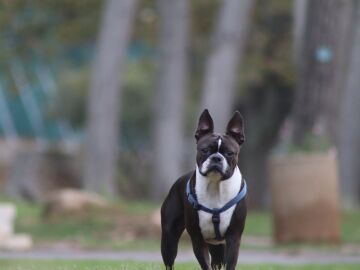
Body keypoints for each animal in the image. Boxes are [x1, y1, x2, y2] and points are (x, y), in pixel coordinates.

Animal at [161, 109, 248, 270]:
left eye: (229, 153)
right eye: (205, 150)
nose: (216, 158)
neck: (215, 185)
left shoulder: (234, 237)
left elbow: (230, 263)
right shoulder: (197, 239)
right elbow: (205, 264)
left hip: (218, 246)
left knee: (217, 261)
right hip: (169, 237)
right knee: (169, 260)